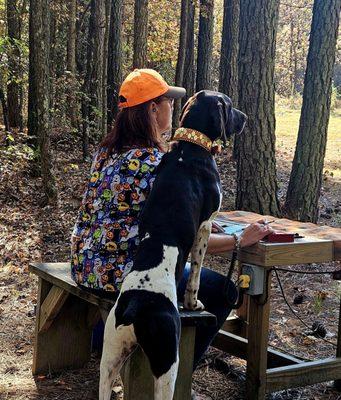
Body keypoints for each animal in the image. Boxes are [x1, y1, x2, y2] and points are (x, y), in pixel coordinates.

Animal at [98, 90, 244, 400]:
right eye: (228, 104)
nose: (246, 117)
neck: (190, 147)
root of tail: (135, 306)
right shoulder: (204, 226)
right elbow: (196, 275)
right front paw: (193, 303)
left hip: (111, 357)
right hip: (168, 361)